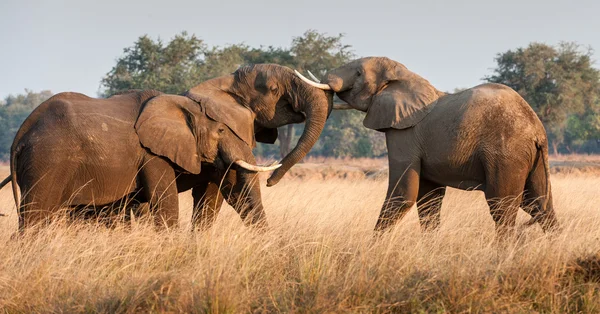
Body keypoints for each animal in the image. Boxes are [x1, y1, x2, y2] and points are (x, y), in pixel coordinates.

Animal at [0, 89, 280, 232]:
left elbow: (232, 189)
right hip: (47, 162)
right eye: (221, 130)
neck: (182, 105)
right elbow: (165, 202)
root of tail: (21, 133)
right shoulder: (153, 155)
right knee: (34, 219)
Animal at [296, 57, 556, 237]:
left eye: (359, 73)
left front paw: (370, 250)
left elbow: (403, 195)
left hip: (505, 155)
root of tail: (537, 131)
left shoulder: (404, 135)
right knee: (539, 206)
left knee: (502, 207)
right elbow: (429, 200)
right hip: (527, 157)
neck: (404, 75)